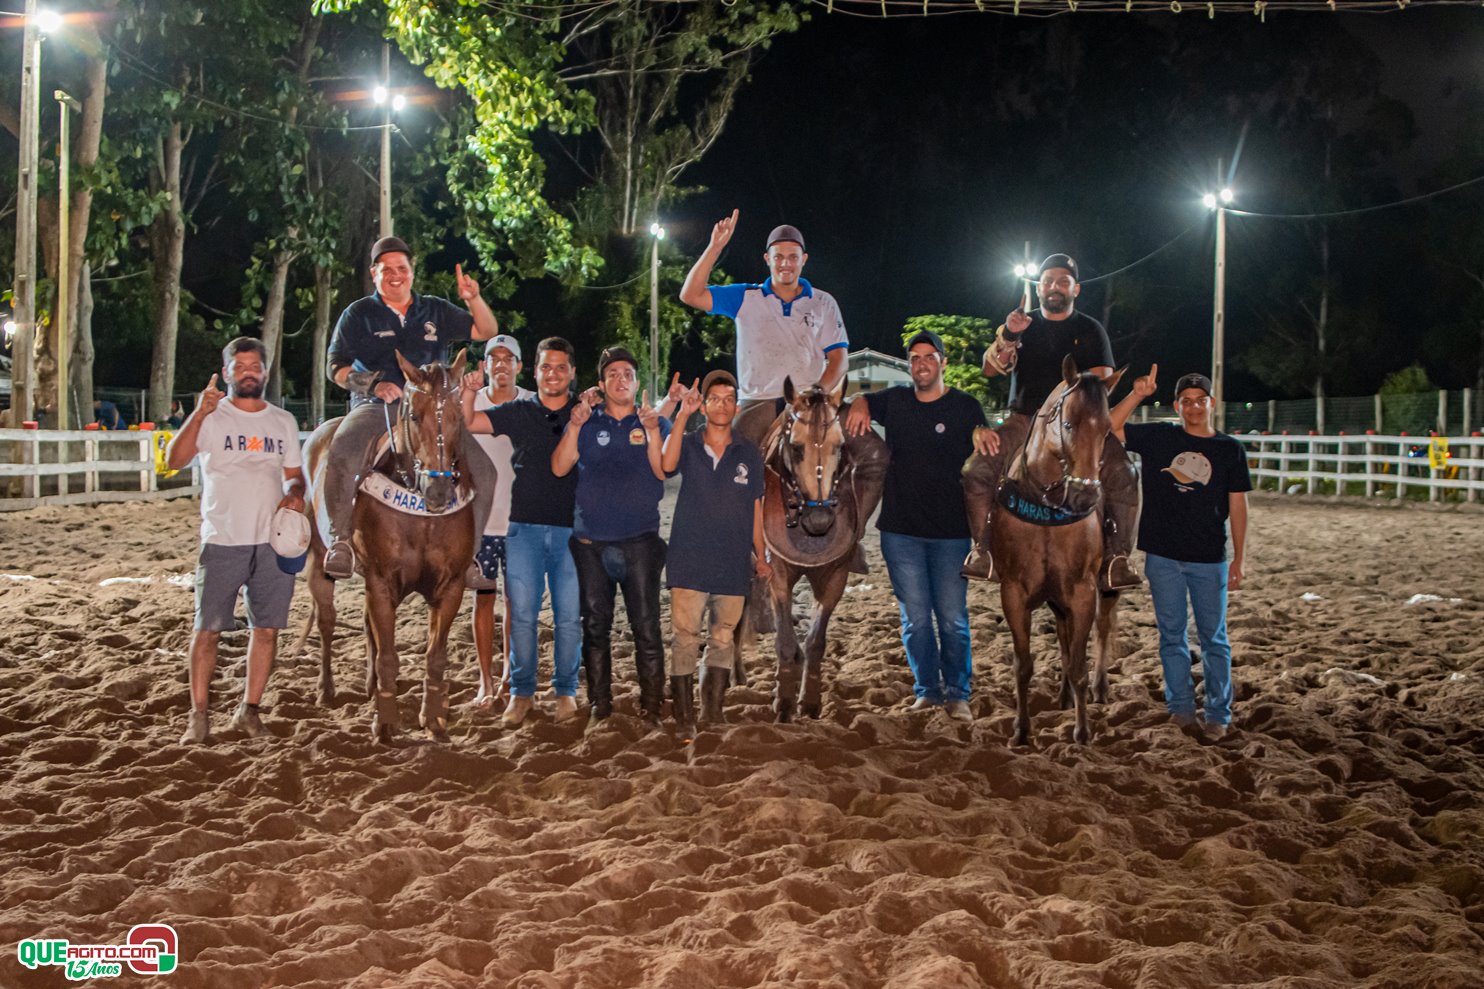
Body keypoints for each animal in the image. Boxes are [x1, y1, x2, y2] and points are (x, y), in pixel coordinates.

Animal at [302, 346, 480, 739]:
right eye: (414, 414)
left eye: (458, 415)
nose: (439, 491)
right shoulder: (381, 582)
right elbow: (387, 654)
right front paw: (383, 724)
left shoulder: (451, 586)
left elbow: (435, 657)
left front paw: (434, 721)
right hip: (319, 563)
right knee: (327, 621)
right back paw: (326, 689)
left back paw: (370, 687)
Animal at [742, 375, 878, 715]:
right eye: (796, 447)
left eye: (840, 446)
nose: (820, 520)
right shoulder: (778, 576)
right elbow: (784, 641)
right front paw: (784, 700)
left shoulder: (835, 577)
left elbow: (815, 641)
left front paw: (810, 700)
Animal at [997, 350, 1121, 742]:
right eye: (1067, 425)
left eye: (1107, 429)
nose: (1085, 497)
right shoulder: (1014, 593)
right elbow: (1024, 665)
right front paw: (1021, 730)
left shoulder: (1083, 592)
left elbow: (1080, 661)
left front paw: (1081, 733)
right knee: (1065, 640)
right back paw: (1064, 695)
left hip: (1103, 589)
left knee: (1103, 628)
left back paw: (1099, 688)